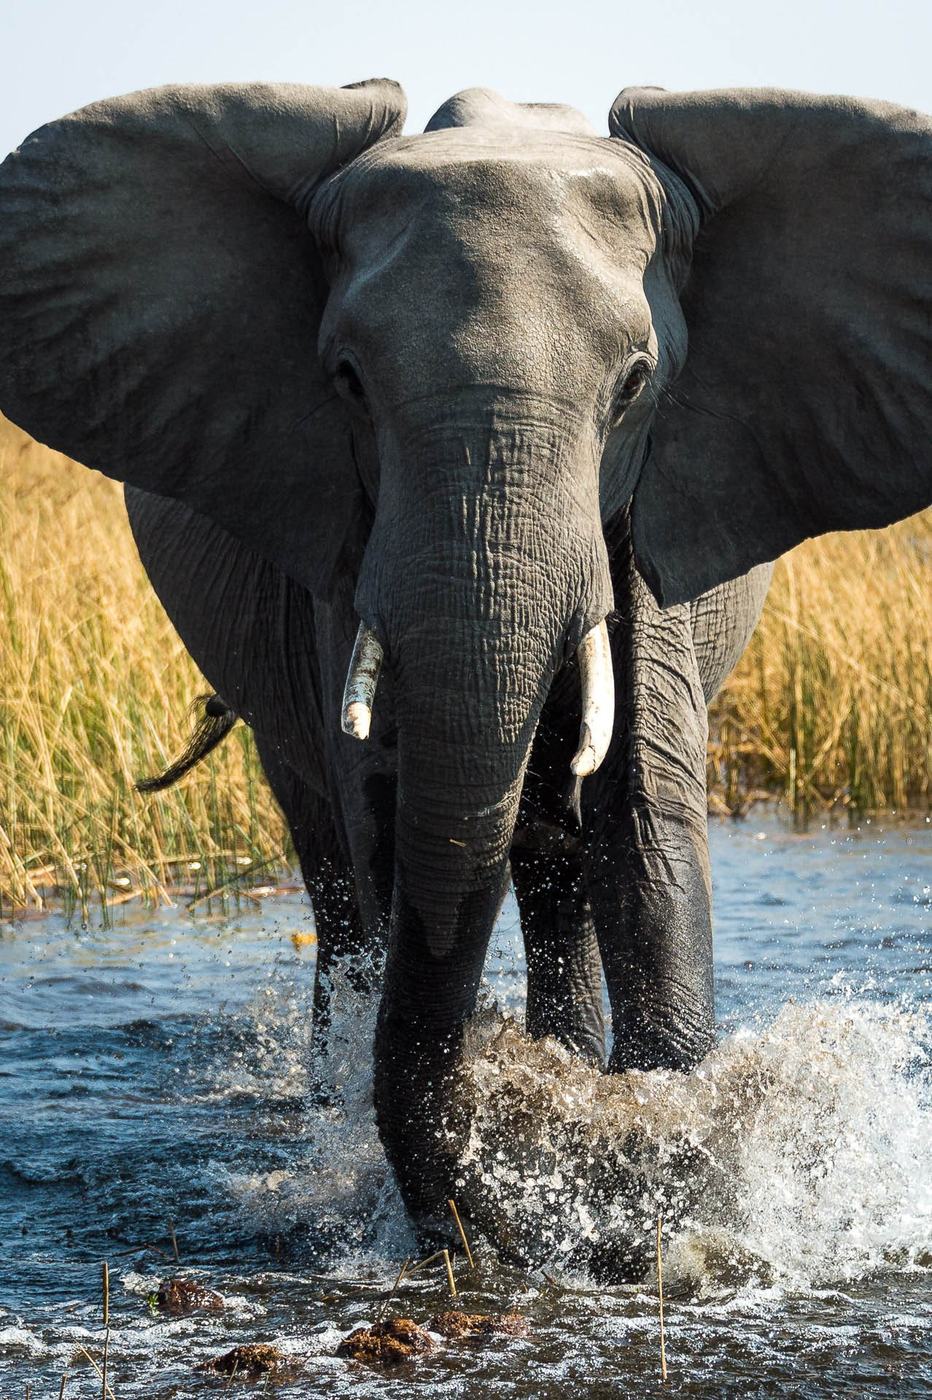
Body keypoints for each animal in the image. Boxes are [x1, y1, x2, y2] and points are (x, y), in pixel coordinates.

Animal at [1, 79, 929, 1254]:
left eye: (636, 385)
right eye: (346, 380)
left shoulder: (657, 502)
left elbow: (644, 810)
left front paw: (656, 1143)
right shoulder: (341, 530)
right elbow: (389, 807)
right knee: (334, 857)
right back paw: (337, 1091)